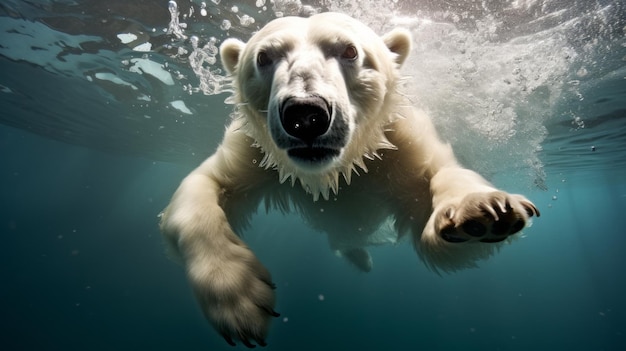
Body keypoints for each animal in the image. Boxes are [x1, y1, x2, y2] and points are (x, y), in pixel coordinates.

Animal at [158, 11, 540, 350]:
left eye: (350, 51)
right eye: (264, 56)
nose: (306, 115)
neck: (336, 171)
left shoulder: (397, 145)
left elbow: (436, 202)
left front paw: (483, 213)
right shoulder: (255, 150)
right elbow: (203, 186)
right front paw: (239, 300)